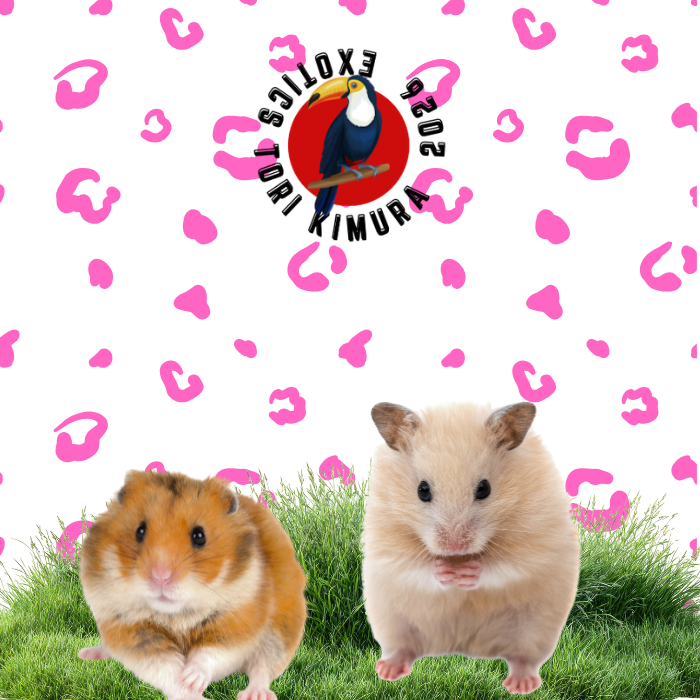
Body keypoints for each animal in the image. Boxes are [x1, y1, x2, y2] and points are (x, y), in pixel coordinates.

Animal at [78, 469, 307, 700]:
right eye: (139, 531)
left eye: (199, 535)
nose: (161, 577)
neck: (176, 616)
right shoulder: (134, 633)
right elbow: (166, 671)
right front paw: (191, 690)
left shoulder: (235, 623)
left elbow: (210, 654)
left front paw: (191, 678)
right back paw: (87, 653)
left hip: (280, 633)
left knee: (262, 668)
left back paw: (254, 695)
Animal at [361, 401, 580, 695]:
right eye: (422, 490)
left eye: (484, 488)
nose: (454, 547)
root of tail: (466, 648)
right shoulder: (386, 545)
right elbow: (415, 567)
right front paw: (445, 572)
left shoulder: (535, 544)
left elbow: (505, 566)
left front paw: (466, 574)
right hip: (391, 622)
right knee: (403, 648)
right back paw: (387, 671)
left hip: (536, 629)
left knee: (523, 657)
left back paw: (520, 685)